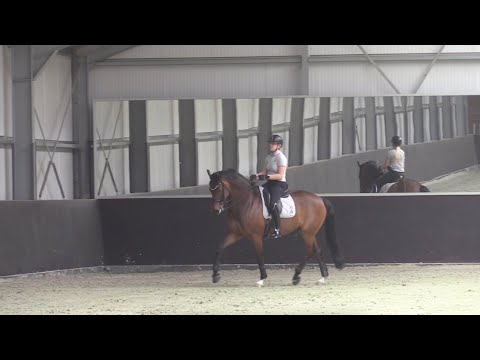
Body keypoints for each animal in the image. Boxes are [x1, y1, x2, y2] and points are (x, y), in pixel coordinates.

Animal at [206, 169, 344, 286]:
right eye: (210, 189)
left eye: (218, 189)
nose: (215, 210)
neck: (246, 202)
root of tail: (319, 198)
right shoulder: (236, 233)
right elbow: (220, 247)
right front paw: (215, 274)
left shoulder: (256, 236)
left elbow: (259, 255)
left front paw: (262, 279)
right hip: (309, 232)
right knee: (317, 250)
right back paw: (322, 277)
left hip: (307, 232)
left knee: (311, 251)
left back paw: (296, 275)